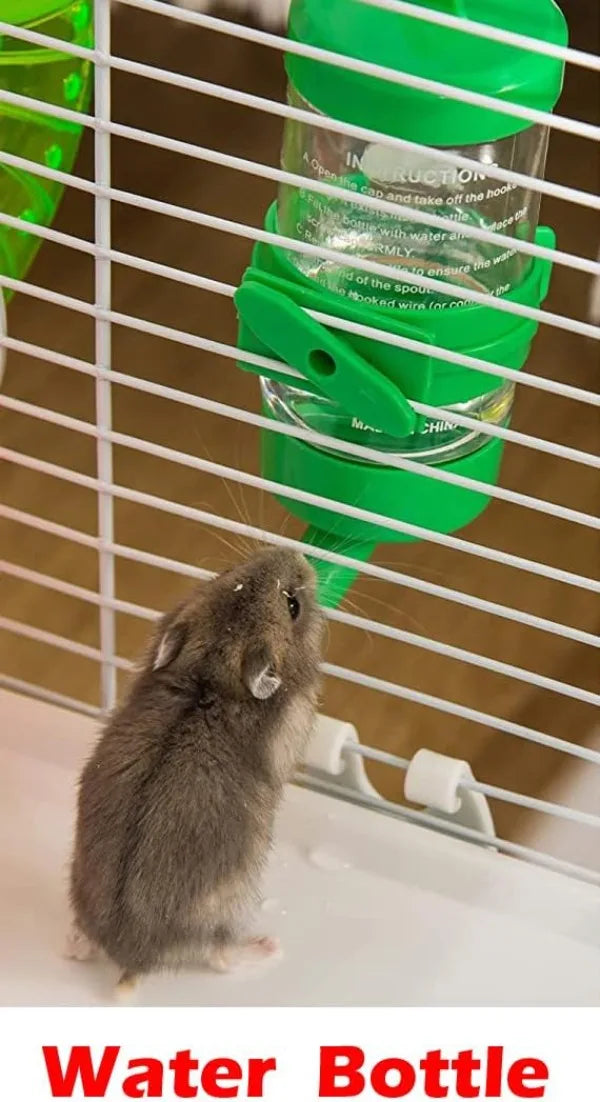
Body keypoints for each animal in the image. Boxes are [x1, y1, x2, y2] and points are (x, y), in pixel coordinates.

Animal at [67, 546, 323, 994]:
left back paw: (75, 942)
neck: (212, 670)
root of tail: (131, 959)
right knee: (222, 959)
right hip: (225, 917)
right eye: (293, 605)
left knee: (83, 945)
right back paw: (267, 946)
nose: (299, 552)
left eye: (224, 570)